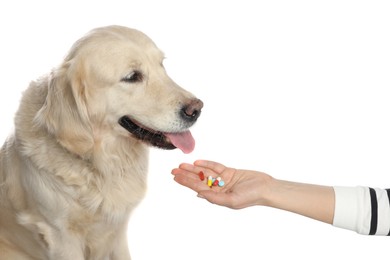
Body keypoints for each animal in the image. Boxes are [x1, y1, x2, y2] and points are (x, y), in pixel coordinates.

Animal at [0, 24, 201, 260]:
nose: (197, 109)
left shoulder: (117, 232)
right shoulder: (61, 237)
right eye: (132, 76)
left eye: (161, 65)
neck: (104, 161)